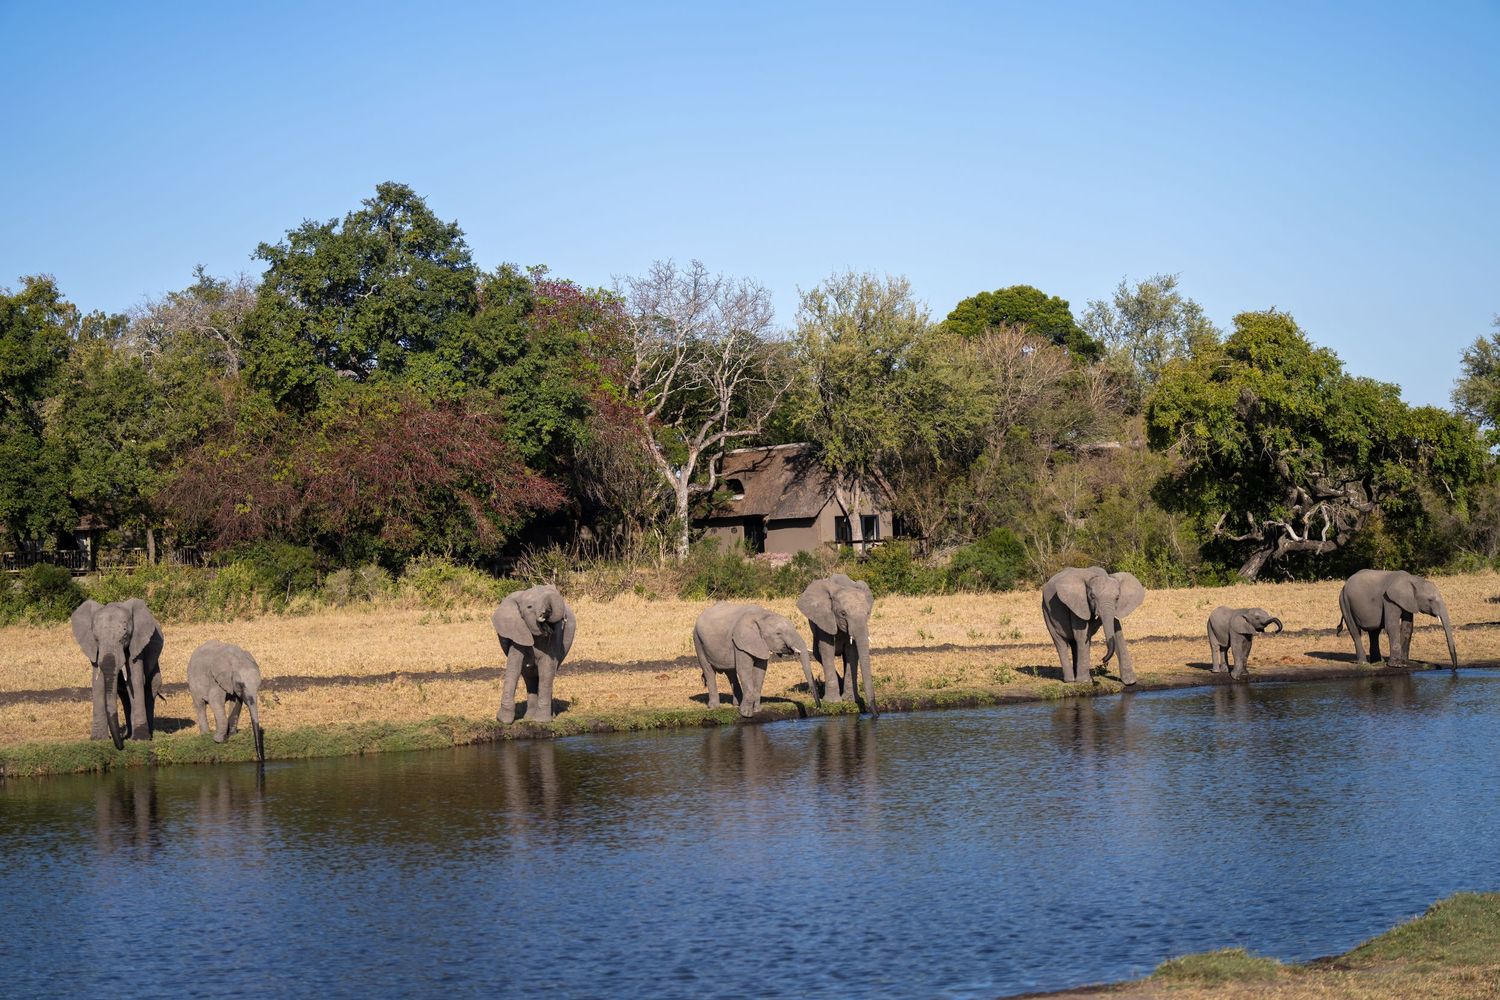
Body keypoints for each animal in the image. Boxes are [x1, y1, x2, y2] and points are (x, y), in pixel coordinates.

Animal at [70, 598, 163, 748]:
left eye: (125, 636)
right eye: (96, 638)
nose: (120, 746)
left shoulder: (136, 644)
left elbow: (135, 680)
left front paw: (140, 739)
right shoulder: (93, 649)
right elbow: (98, 684)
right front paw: (98, 739)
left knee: (151, 688)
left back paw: (148, 734)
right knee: (124, 694)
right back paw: (129, 734)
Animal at [493, 584, 576, 724]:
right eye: (529, 607)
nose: (546, 612)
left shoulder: (557, 633)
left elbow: (547, 668)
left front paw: (542, 721)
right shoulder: (517, 630)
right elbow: (514, 667)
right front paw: (503, 720)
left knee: (548, 674)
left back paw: (546, 716)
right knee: (529, 676)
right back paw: (529, 718)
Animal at [797, 573, 878, 716]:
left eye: (868, 613)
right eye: (843, 614)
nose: (876, 714)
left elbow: (852, 652)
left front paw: (850, 700)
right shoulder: (825, 618)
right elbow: (827, 650)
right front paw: (833, 702)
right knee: (818, 654)